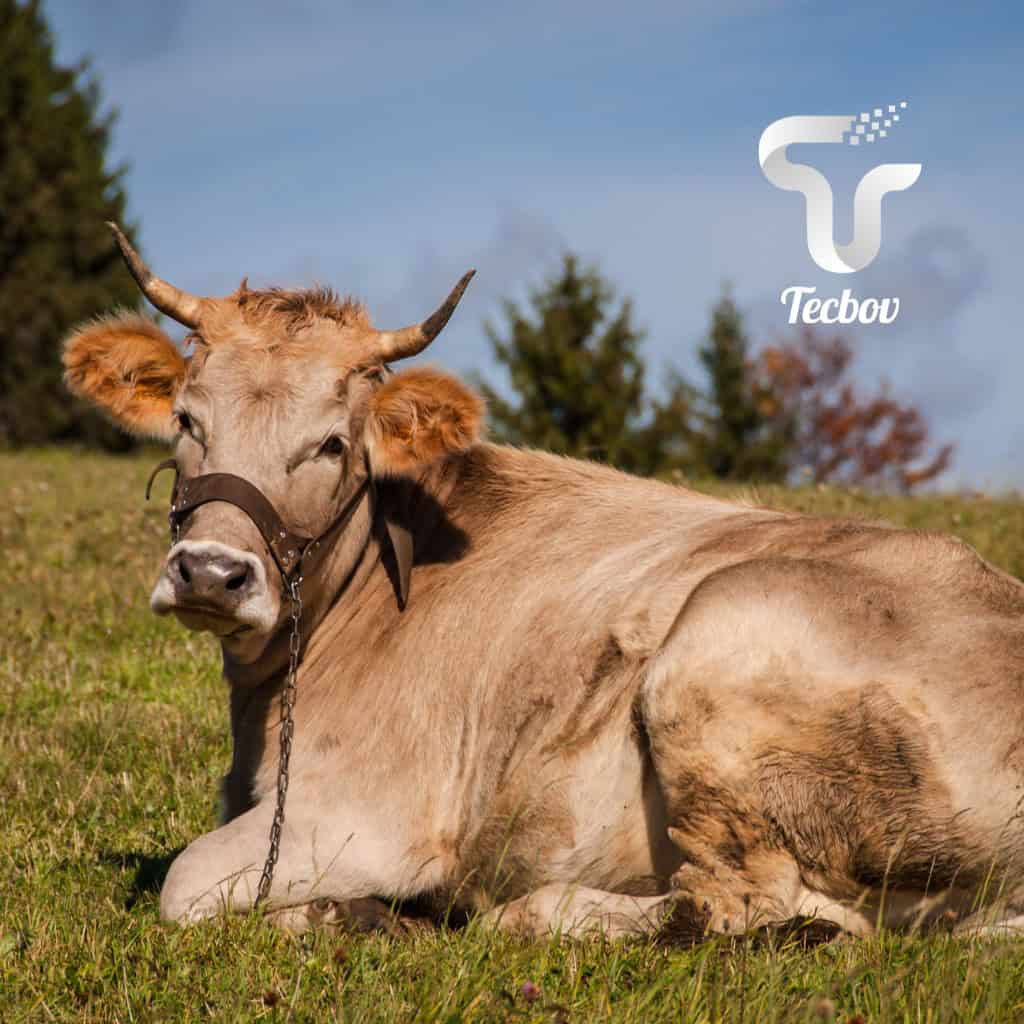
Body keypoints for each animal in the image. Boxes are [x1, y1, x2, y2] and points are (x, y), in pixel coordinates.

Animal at [61, 224, 1024, 942]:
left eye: (333, 443)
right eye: (188, 419)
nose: (211, 574)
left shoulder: (365, 816)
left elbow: (183, 882)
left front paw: (337, 912)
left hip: (719, 644)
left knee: (754, 906)